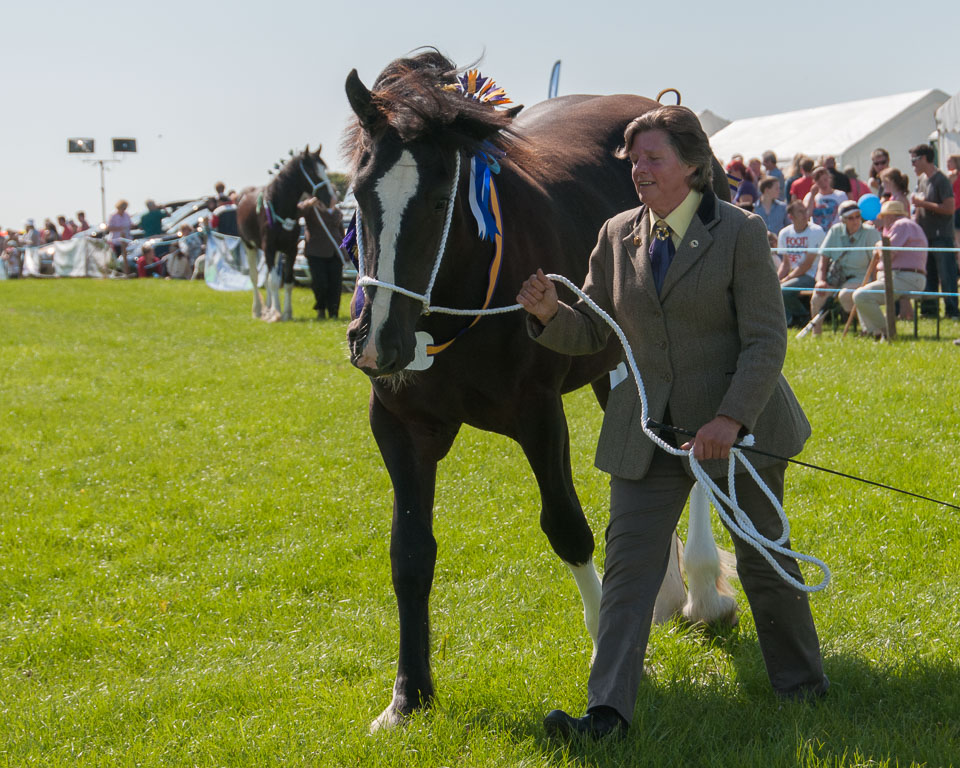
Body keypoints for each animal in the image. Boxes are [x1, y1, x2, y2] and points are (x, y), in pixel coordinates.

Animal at [235, 146, 338, 320]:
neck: (278, 206)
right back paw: (258, 310)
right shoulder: (269, 248)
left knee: (267, 277)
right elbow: (274, 281)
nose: (330, 198)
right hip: (249, 245)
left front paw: (286, 313)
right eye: (312, 170)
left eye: (324, 168)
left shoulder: (291, 249)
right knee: (255, 277)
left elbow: (287, 281)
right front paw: (276, 312)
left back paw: (267, 308)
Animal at [342, 52, 732, 732]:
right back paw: (664, 592)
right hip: (621, 367)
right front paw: (409, 695)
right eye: (360, 193)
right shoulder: (399, 427)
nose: (378, 342)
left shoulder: (539, 415)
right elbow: (410, 553)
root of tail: (660, 105)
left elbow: (568, 528)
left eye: (440, 198)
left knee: (695, 462)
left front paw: (608, 650)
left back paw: (704, 590)